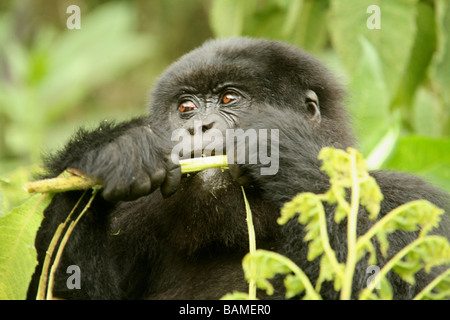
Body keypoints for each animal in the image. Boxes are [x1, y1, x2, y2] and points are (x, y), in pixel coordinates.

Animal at [29, 37, 450, 300]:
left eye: (229, 99)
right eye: (186, 107)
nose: (197, 127)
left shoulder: (417, 204)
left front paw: (281, 147)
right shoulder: (134, 217)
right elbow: (60, 287)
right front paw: (110, 152)